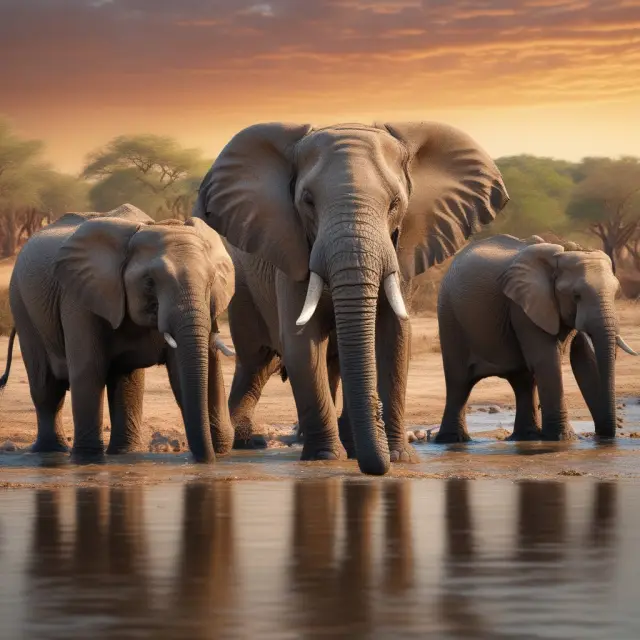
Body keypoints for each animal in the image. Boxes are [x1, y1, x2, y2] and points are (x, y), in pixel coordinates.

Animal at [0, 204, 236, 462]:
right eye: (149, 282)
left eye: (211, 281)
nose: (209, 458)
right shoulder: (79, 298)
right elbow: (89, 369)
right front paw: (88, 461)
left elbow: (184, 372)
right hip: (21, 305)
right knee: (46, 386)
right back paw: (53, 451)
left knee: (125, 380)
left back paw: (124, 453)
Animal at [194, 121, 509, 475]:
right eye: (307, 201)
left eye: (395, 203)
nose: (376, 465)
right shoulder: (293, 252)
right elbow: (301, 341)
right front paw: (325, 457)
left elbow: (395, 339)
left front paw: (397, 457)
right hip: (244, 288)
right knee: (256, 363)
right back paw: (249, 443)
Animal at [435, 234, 638, 443]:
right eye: (576, 295)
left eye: (616, 293)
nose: (601, 436)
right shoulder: (523, 307)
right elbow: (547, 360)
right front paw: (563, 438)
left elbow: (585, 359)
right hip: (449, 317)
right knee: (459, 382)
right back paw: (452, 440)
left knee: (523, 382)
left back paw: (526, 436)